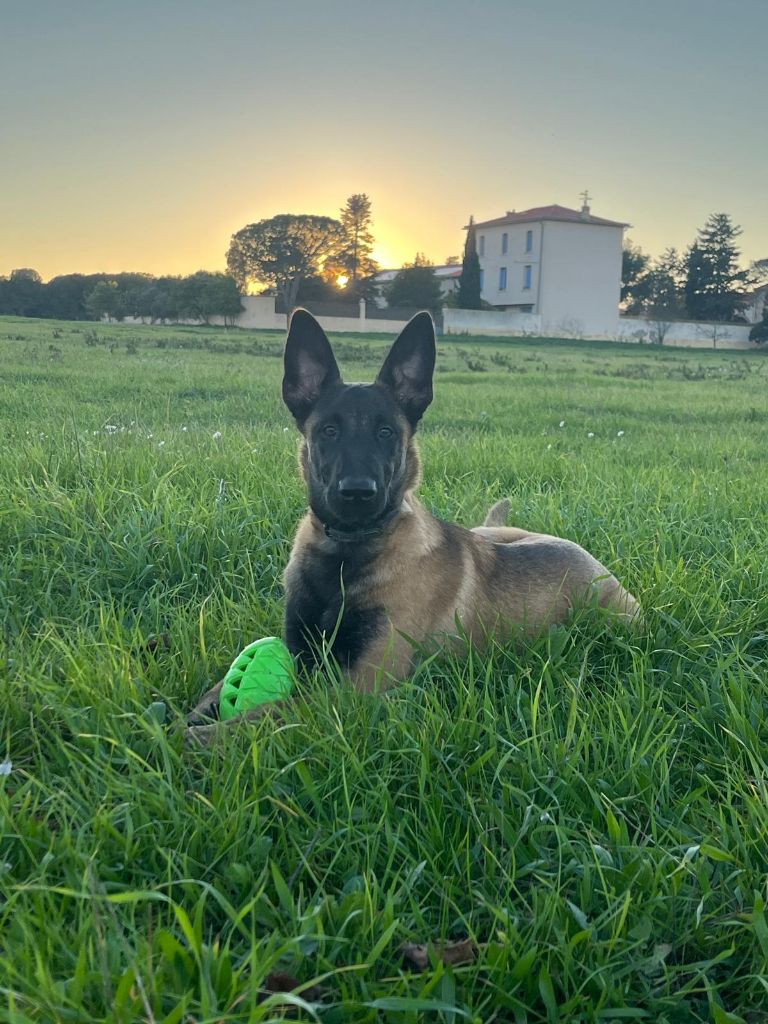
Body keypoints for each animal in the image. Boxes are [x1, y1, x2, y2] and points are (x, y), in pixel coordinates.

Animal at [188, 309, 643, 737]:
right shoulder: (299, 648)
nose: (358, 492)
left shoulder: (354, 687)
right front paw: (189, 715)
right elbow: (213, 693)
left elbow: (264, 715)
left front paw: (192, 739)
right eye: (329, 431)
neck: (348, 552)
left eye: (387, 432)